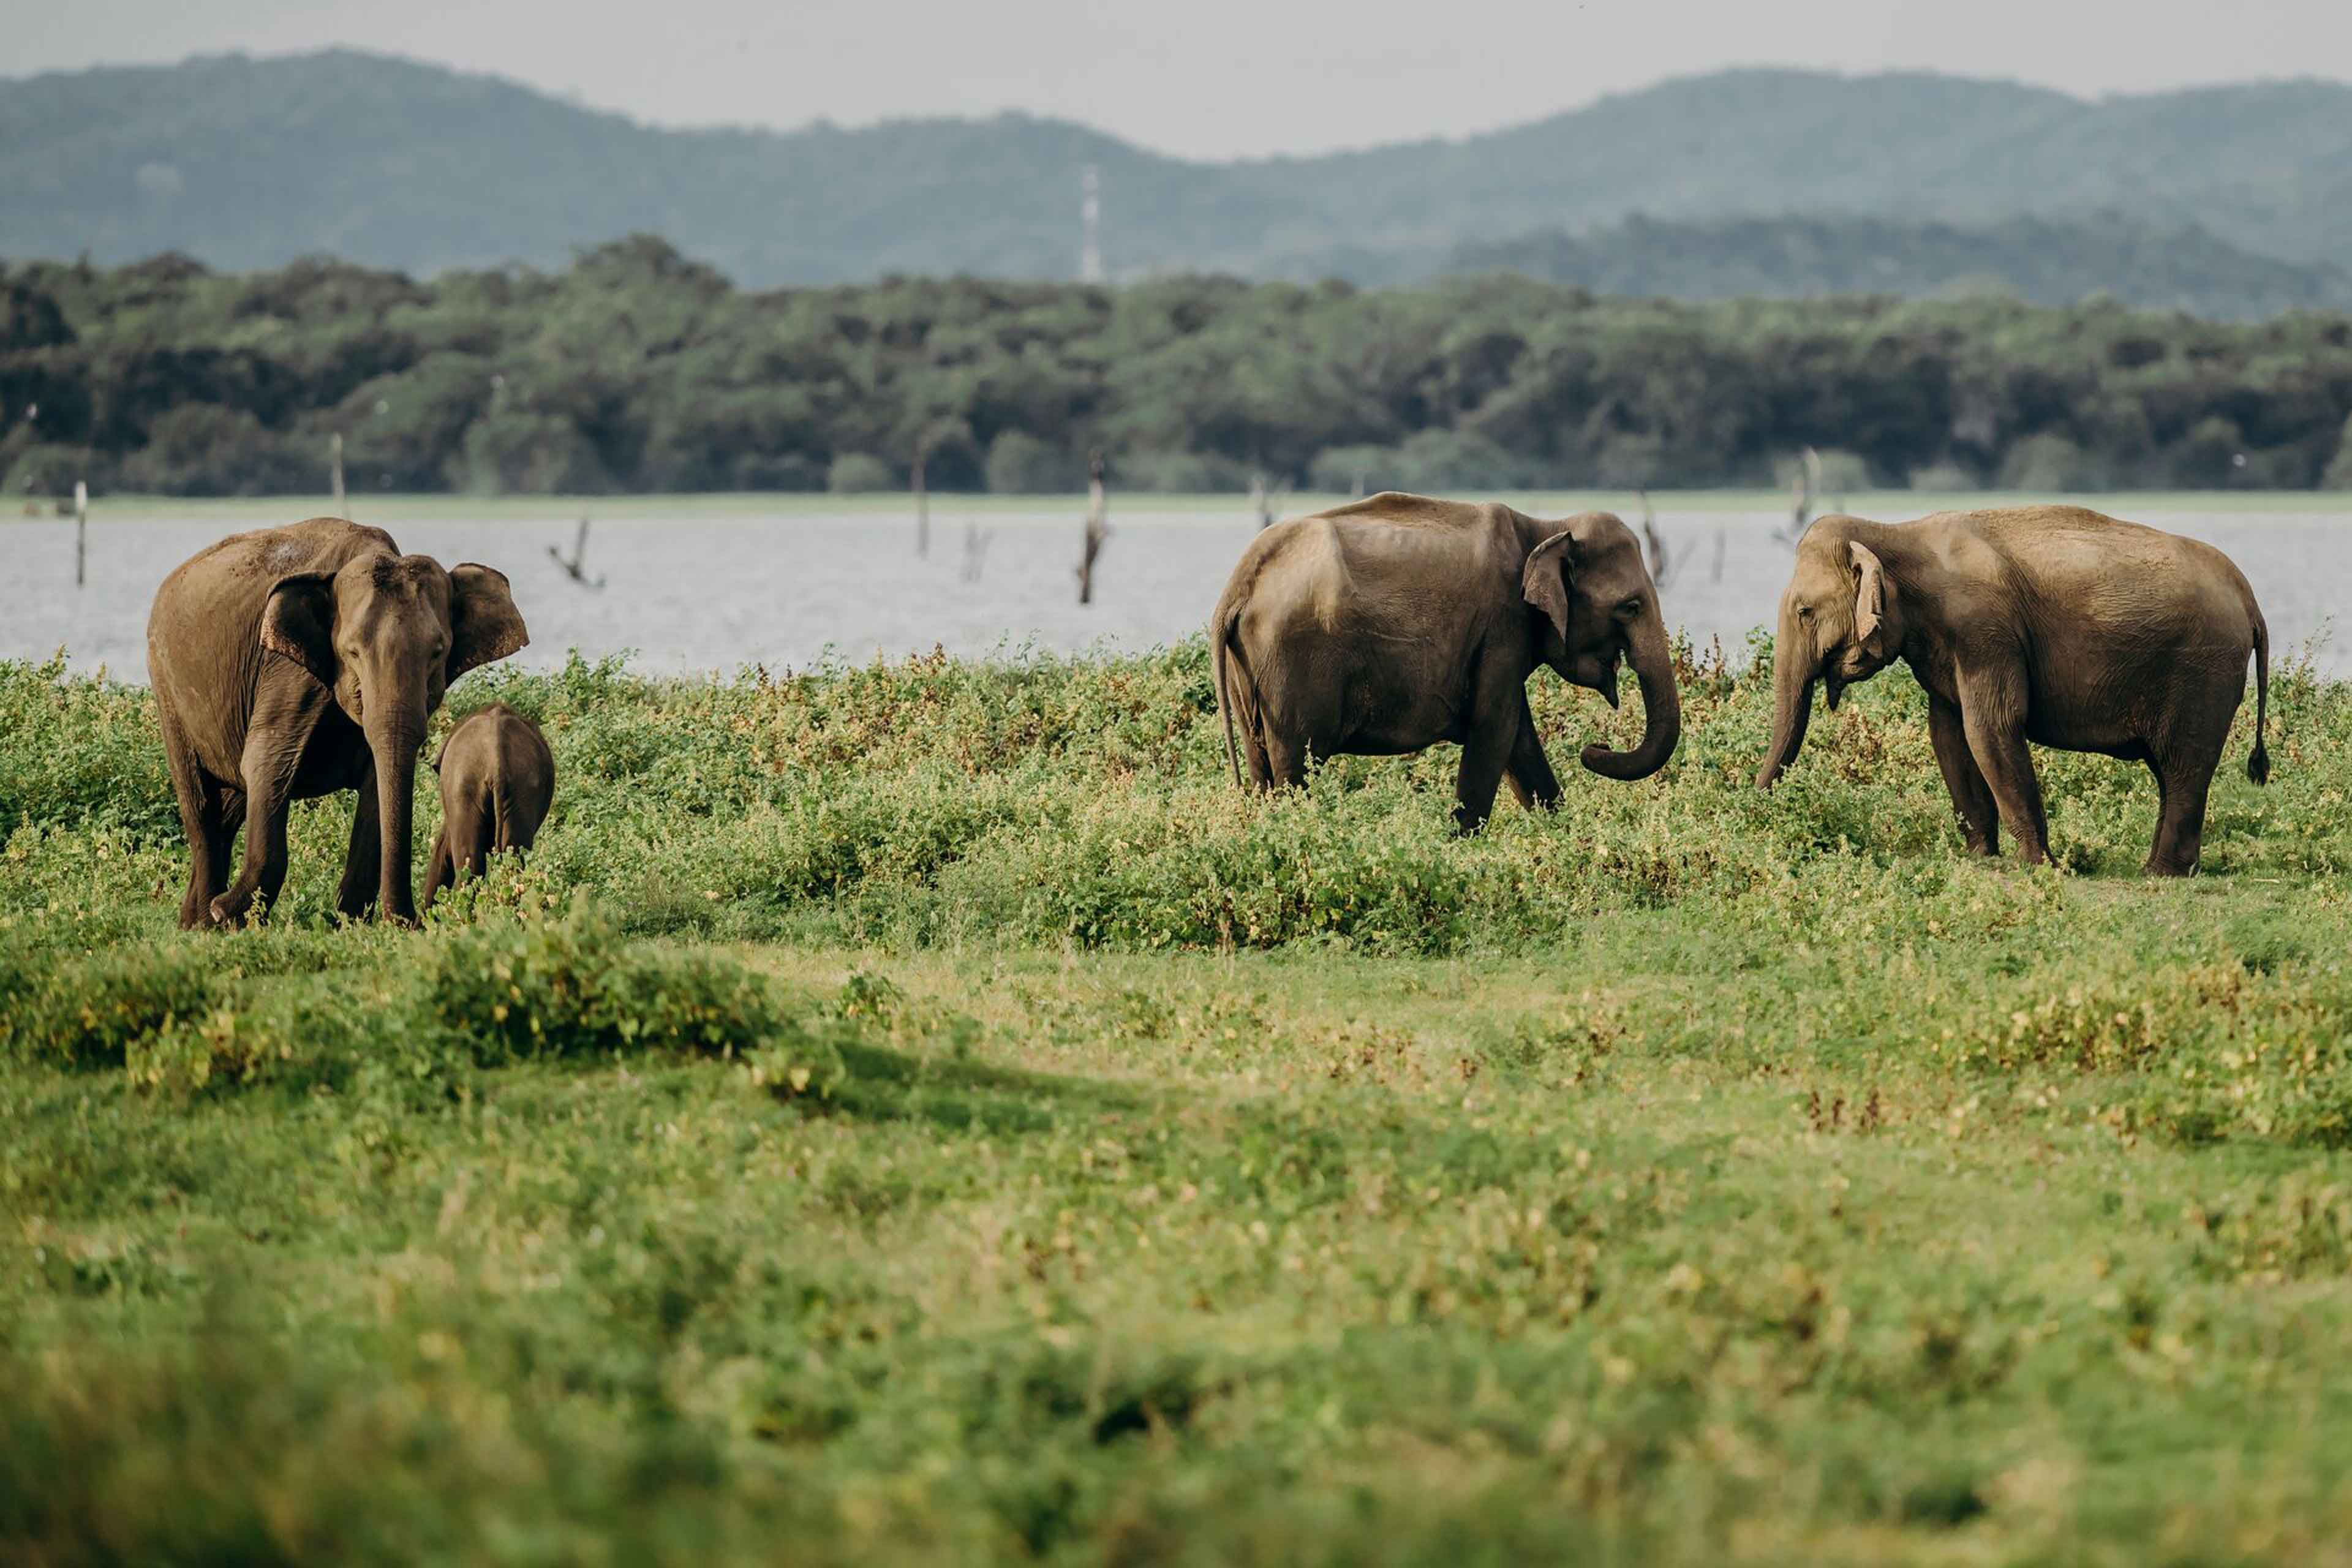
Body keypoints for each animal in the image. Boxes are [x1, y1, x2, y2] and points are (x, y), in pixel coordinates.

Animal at [147, 517, 530, 927]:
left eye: (437, 652)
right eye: (352, 652)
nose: (414, 919)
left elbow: (376, 782)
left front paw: (350, 922)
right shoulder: (286, 674)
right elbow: (268, 763)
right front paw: (231, 915)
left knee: (230, 807)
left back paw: (194, 923)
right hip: (166, 688)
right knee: (201, 805)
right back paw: (206, 920)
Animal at [1210, 491, 1680, 832]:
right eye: (1631, 607)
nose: (1594, 748)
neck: (1545, 529)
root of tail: (1239, 584)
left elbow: (1520, 738)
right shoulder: (1502, 626)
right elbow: (1495, 729)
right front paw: (1462, 842)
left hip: (1248, 669)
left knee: (1260, 763)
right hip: (1293, 667)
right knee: (1296, 766)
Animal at [1755, 505, 2270, 876]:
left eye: (1804, 612)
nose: (1756, 811)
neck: (1895, 532)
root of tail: (2250, 599)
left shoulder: (1983, 629)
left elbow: (1992, 726)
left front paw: (2042, 867)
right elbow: (1949, 734)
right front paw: (1982, 857)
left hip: (2203, 671)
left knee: (2184, 768)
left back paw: (2162, 875)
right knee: (2170, 773)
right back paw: (2165, 870)